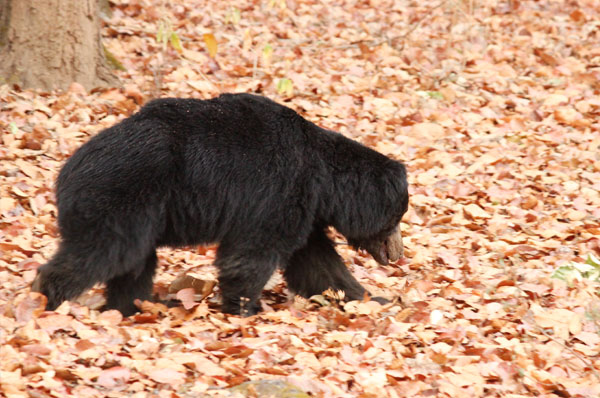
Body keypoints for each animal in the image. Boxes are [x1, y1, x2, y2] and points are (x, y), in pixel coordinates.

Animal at [32, 91, 408, 316]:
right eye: (397, 218)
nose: (397, 254)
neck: (323, 180)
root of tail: (65, 172)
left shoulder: (306, 211)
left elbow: (317, 262)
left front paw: (370, 298)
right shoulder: (277, 192)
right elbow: (253, 252)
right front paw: (245, 306)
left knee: (135, 263)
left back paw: (134, 305)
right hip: (122, 196)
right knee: (105, 252)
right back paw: (47, 296)